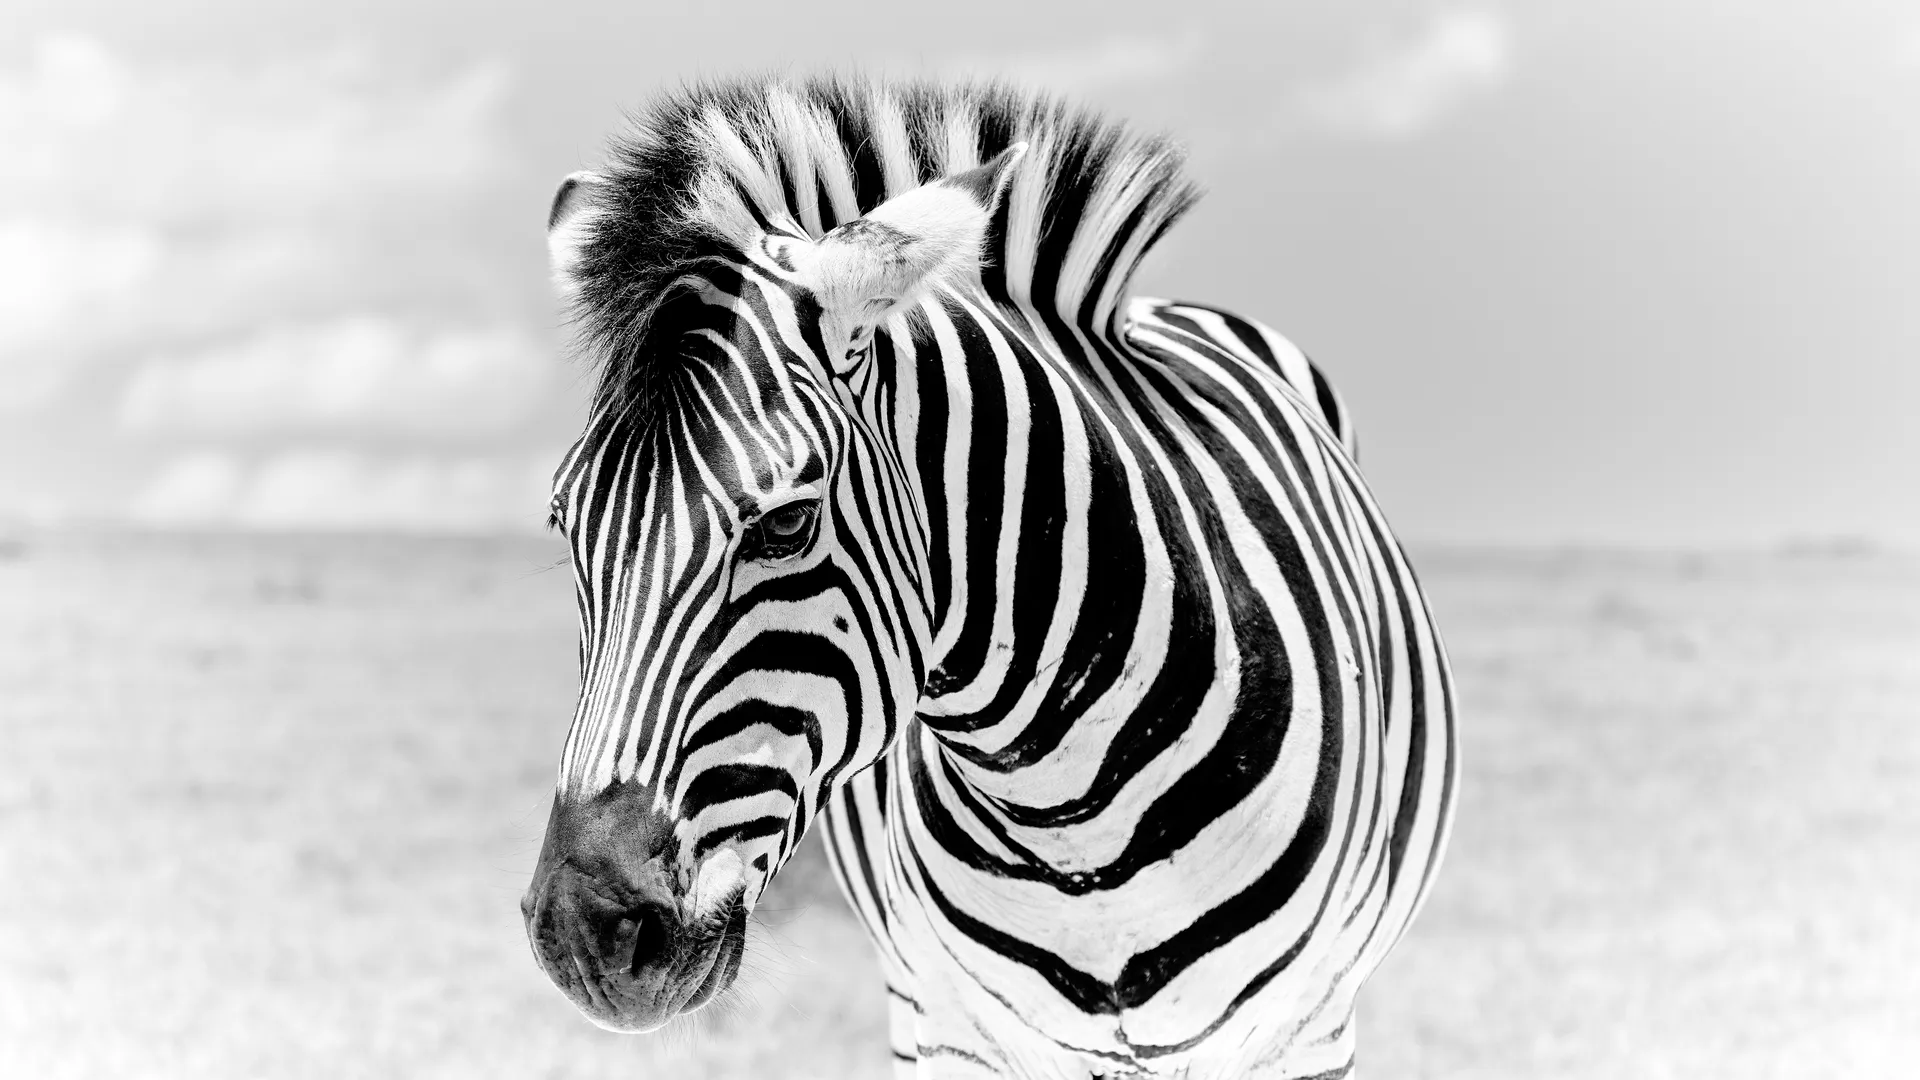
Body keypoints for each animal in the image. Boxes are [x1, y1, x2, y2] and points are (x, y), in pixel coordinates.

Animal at [519, 74, 1458, 1079]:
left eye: (786, 524)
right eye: (566, 524)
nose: (583, 935)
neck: (1076, 815)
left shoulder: (1301, 1030)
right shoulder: (948, 1029)